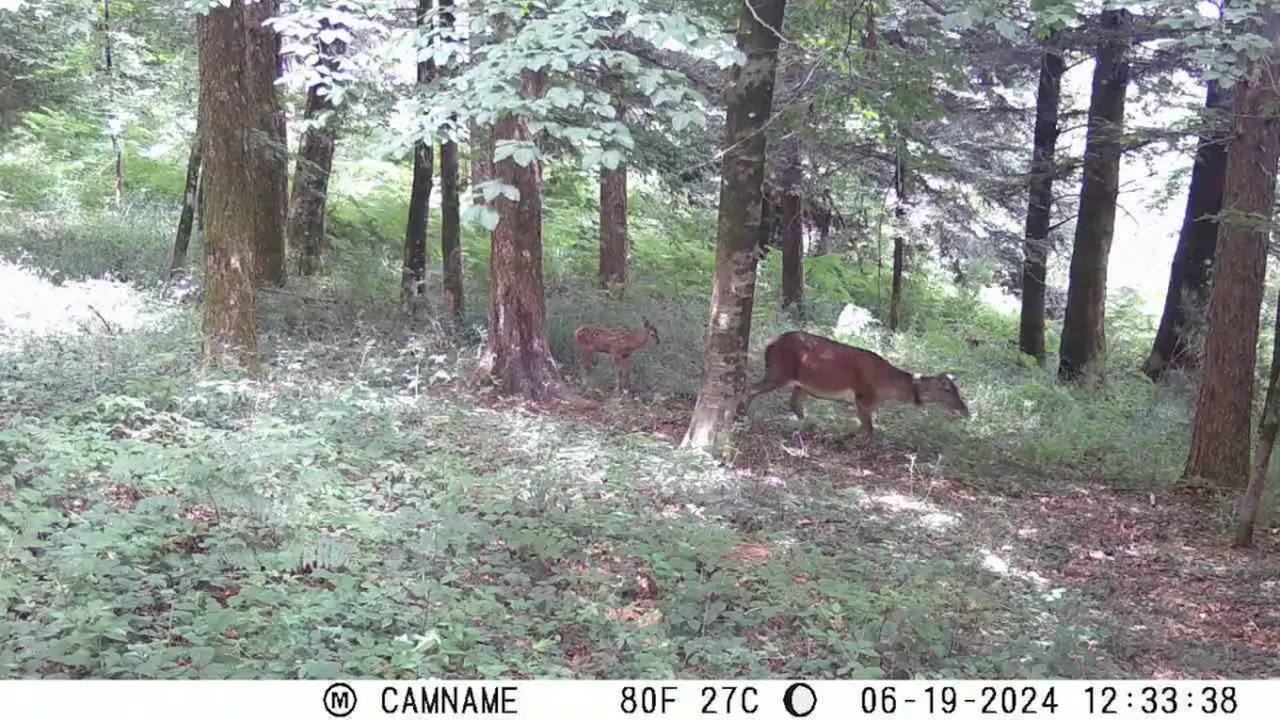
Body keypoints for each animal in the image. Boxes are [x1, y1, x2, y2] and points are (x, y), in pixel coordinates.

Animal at [742, 330, 967, 440]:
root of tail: (770, 344)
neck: (885, 388)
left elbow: (865, 428)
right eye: (947, 389)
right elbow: (868, 430)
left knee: (794, 404)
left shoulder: (867, 403)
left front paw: (836, 436)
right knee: (750, 388)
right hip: (779, 371)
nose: (965, 410)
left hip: (802, 384)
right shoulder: (862, 397)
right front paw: (840, 438)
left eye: (957, 389)